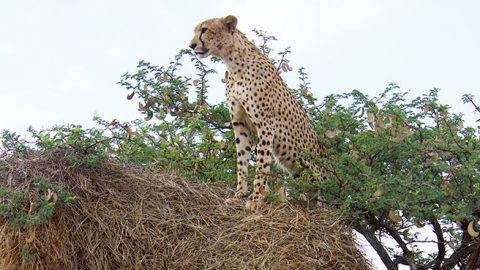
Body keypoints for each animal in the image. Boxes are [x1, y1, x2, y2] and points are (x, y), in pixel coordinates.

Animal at [188, 15, 326, 211]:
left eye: (204, 30)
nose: (191, 45)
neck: (234, 63)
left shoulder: (266, 125)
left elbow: (261, 163)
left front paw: (256, 197)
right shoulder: (240, 124)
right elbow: (242, 160)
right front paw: (239, 194)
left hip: (316, 170)